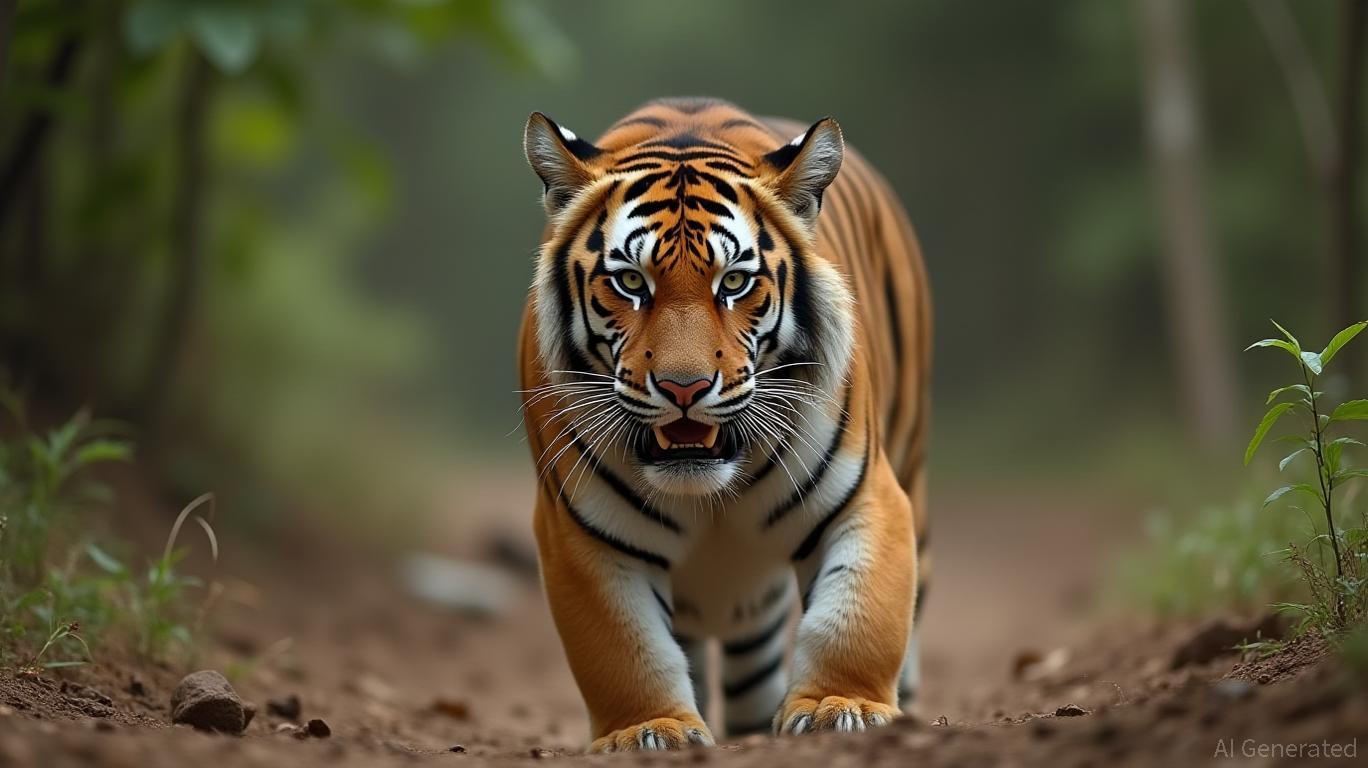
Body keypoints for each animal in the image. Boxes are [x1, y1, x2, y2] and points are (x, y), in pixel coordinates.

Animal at [518, 97, 931, 753]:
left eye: (734, 281)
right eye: (630, 282)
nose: (684, 388)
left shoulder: (868, 497)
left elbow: (854, 617)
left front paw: (840, 705)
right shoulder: (579, 533)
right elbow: (622, 649)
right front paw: (648, 729)